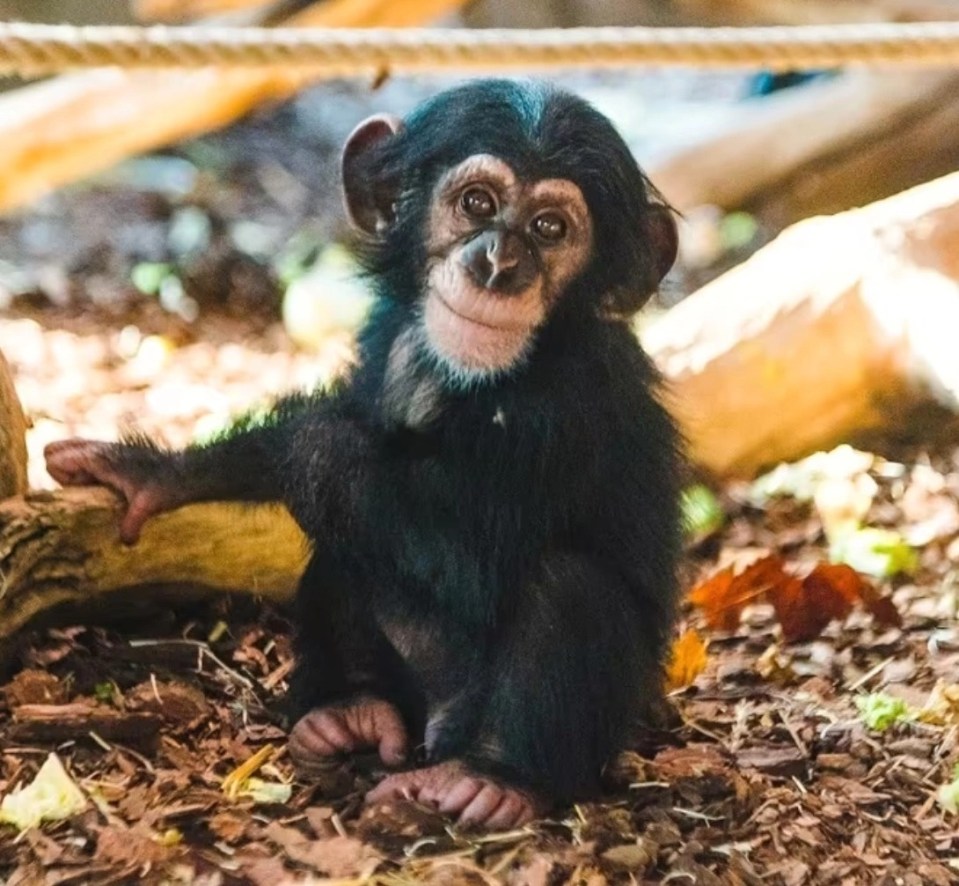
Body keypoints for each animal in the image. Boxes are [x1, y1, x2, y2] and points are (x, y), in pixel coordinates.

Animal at [47, 80, 684, 828]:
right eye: (477, 203)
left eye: (551, 228)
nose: (499, 262)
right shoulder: (386, 336)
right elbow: (353, 416)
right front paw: (156, 472)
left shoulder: (566, 409)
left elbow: (466, 559)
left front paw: (312, 443)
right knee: (344, 550)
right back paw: (351, 709)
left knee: (567, 584)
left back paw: (489, 777)